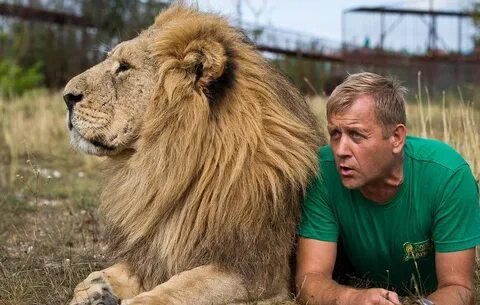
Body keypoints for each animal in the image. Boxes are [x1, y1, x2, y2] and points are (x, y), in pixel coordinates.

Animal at [62, 4, 322, 304]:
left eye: (124, 67)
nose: (66, 97)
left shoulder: (261, 274)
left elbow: (181, 287)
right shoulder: (155, 250)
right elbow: (96, 278)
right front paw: (96, 291)